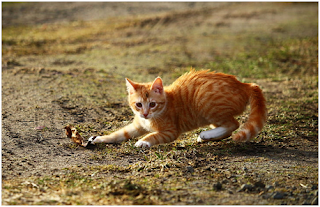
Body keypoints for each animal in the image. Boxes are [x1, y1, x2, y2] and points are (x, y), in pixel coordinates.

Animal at [88, 69, 268, 147]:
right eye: (138, 104)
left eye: (152, 104)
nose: (145, 113)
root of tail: (243, 84)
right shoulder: (137, 126)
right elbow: (119, 134)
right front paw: (100, 138)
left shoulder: (170, 131)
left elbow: (154, 135)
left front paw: (143, 141)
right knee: (228, 127)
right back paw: (208, 136)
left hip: (205, 102)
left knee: (233, 124)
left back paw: (206, 134)